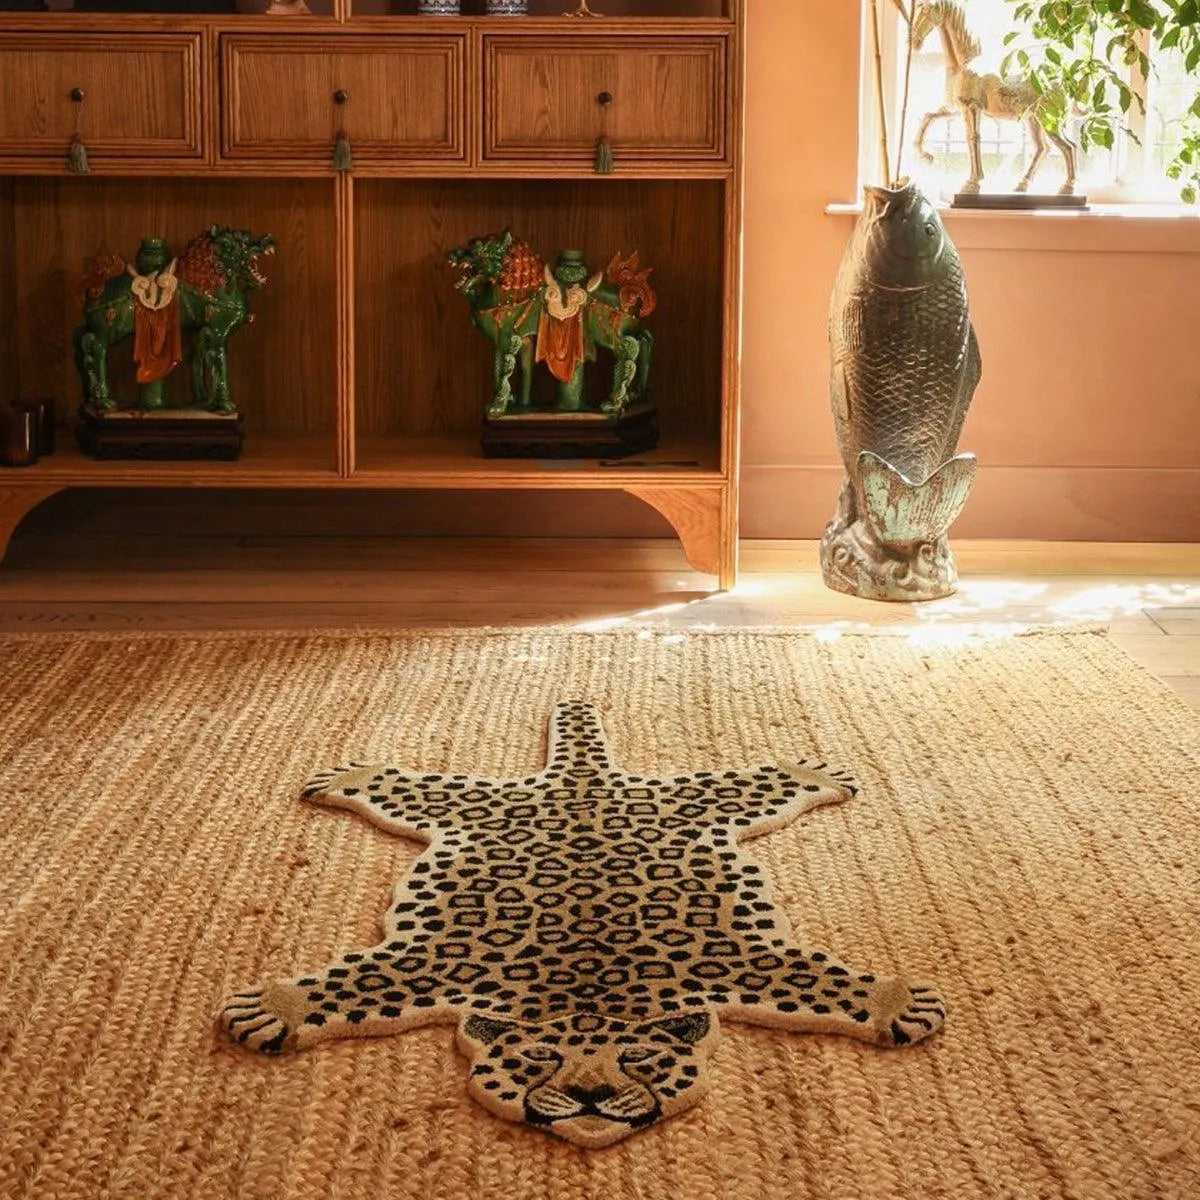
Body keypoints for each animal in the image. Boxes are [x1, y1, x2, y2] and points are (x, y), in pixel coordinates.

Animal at [220, 702, 945, 1148]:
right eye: (537, 1058)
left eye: (641, 1059)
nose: (591, 1098)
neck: (590, 991)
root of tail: (581, 775)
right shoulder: (432, 968)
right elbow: (351, 988)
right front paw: (276, 1007)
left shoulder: (741, 965)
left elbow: (819, 984)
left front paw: (894, 1000)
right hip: (464, 803)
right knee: (410, 787)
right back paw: (359, 772)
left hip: (695, 799)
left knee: (754, 784)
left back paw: (804, 768)